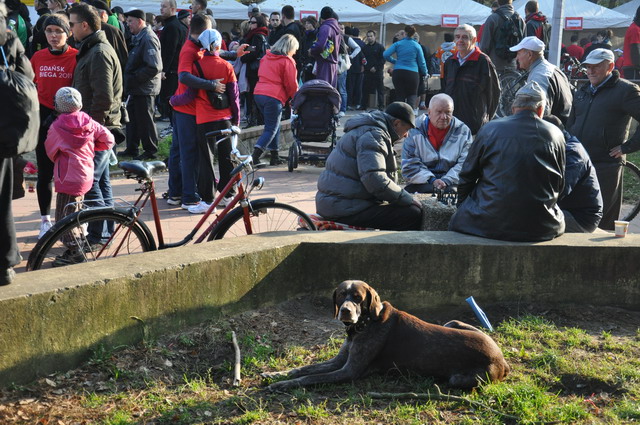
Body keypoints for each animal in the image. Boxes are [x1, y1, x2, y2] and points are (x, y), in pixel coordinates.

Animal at [262, 280, 510, 390]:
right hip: (453, 323)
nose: (345, 311)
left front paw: (281, 384)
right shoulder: (339, 361)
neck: (363, 326)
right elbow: (303, 368)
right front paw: (275, 374)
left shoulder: (349, 371)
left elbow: (309, 378)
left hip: (457, 378)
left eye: (358, 297)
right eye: (341, 295)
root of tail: (502, 360)